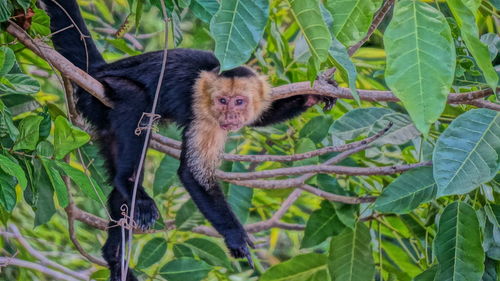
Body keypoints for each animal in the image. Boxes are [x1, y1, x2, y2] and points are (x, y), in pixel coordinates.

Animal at [40, 1, 336, 278]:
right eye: (223, 101)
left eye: (240, 102)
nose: (230, 115)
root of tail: (101, 69)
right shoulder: (204, 113)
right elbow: (192, 173)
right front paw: (235, 236)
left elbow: (262, 115)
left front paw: (314, 95)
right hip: (99, 95)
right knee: (135, 100)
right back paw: (130, 181)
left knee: (117, 180)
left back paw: (115, 255)